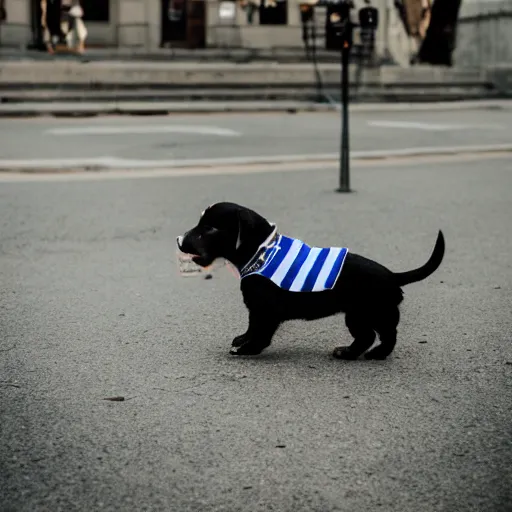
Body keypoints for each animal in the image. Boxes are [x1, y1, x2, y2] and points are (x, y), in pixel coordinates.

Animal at [177, 202, 444, 358]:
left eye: (210, 228)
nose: (179, 240)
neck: (261, 252)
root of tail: (392, 276)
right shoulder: (256, 309)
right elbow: (252, 326)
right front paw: (243, 339)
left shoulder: (267, 310)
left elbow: (261, 332)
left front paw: (247, 349)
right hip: (357, 316)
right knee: (367, 336)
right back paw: (347, 352)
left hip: (370, 312)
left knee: (387, 335)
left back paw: (374, 354)